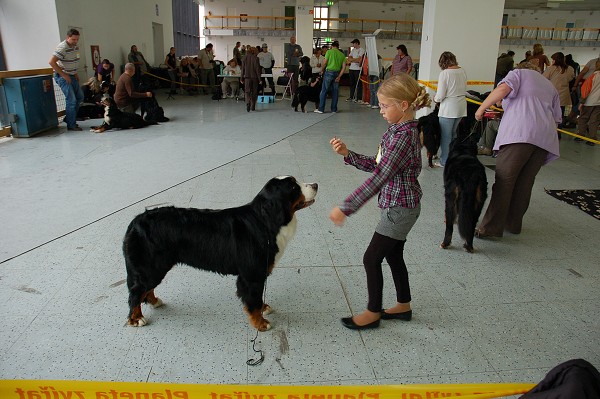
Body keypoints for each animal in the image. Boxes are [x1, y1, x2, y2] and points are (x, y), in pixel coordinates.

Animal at [122, 177, 318, 332]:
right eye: (293, 187)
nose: (316, 184)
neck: (264, 221)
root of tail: (135, 222)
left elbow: (257, 298)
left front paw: (264, 308)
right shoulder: (252, 275)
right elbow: (253, 301)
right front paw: (261, 323)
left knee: (145, 289)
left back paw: (154, 301)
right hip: (151, 267)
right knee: (136, 292)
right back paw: (135, 318)